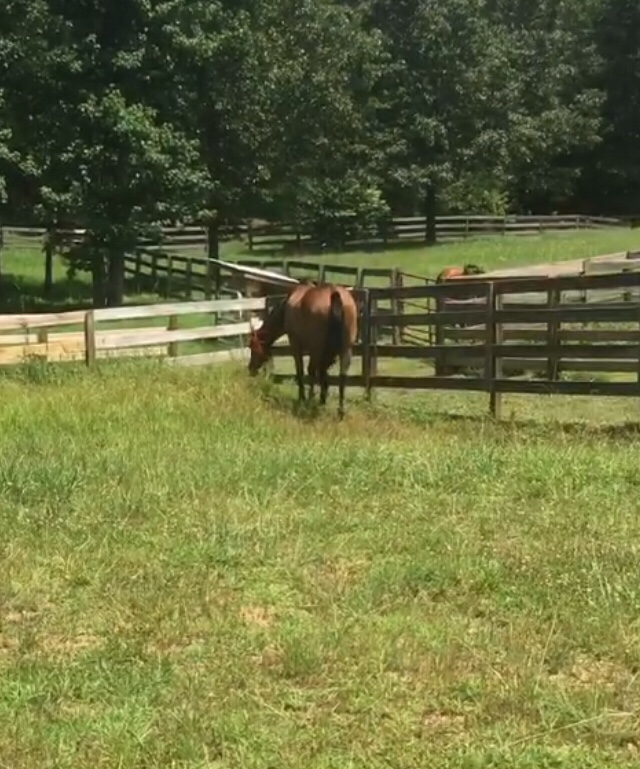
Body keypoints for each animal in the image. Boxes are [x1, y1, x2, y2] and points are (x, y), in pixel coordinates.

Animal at [247, 282, 358, 418]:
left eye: (252, 347)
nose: (250, 368)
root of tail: (334, 293)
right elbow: (323, 374)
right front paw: (322, 400)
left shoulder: (295, 345)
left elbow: (300, 371)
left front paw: (302, 398)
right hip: (345, 350)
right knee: (341, 376)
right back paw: (340, 411)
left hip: (317, 349)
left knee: (312, 371)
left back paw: (310, 402)